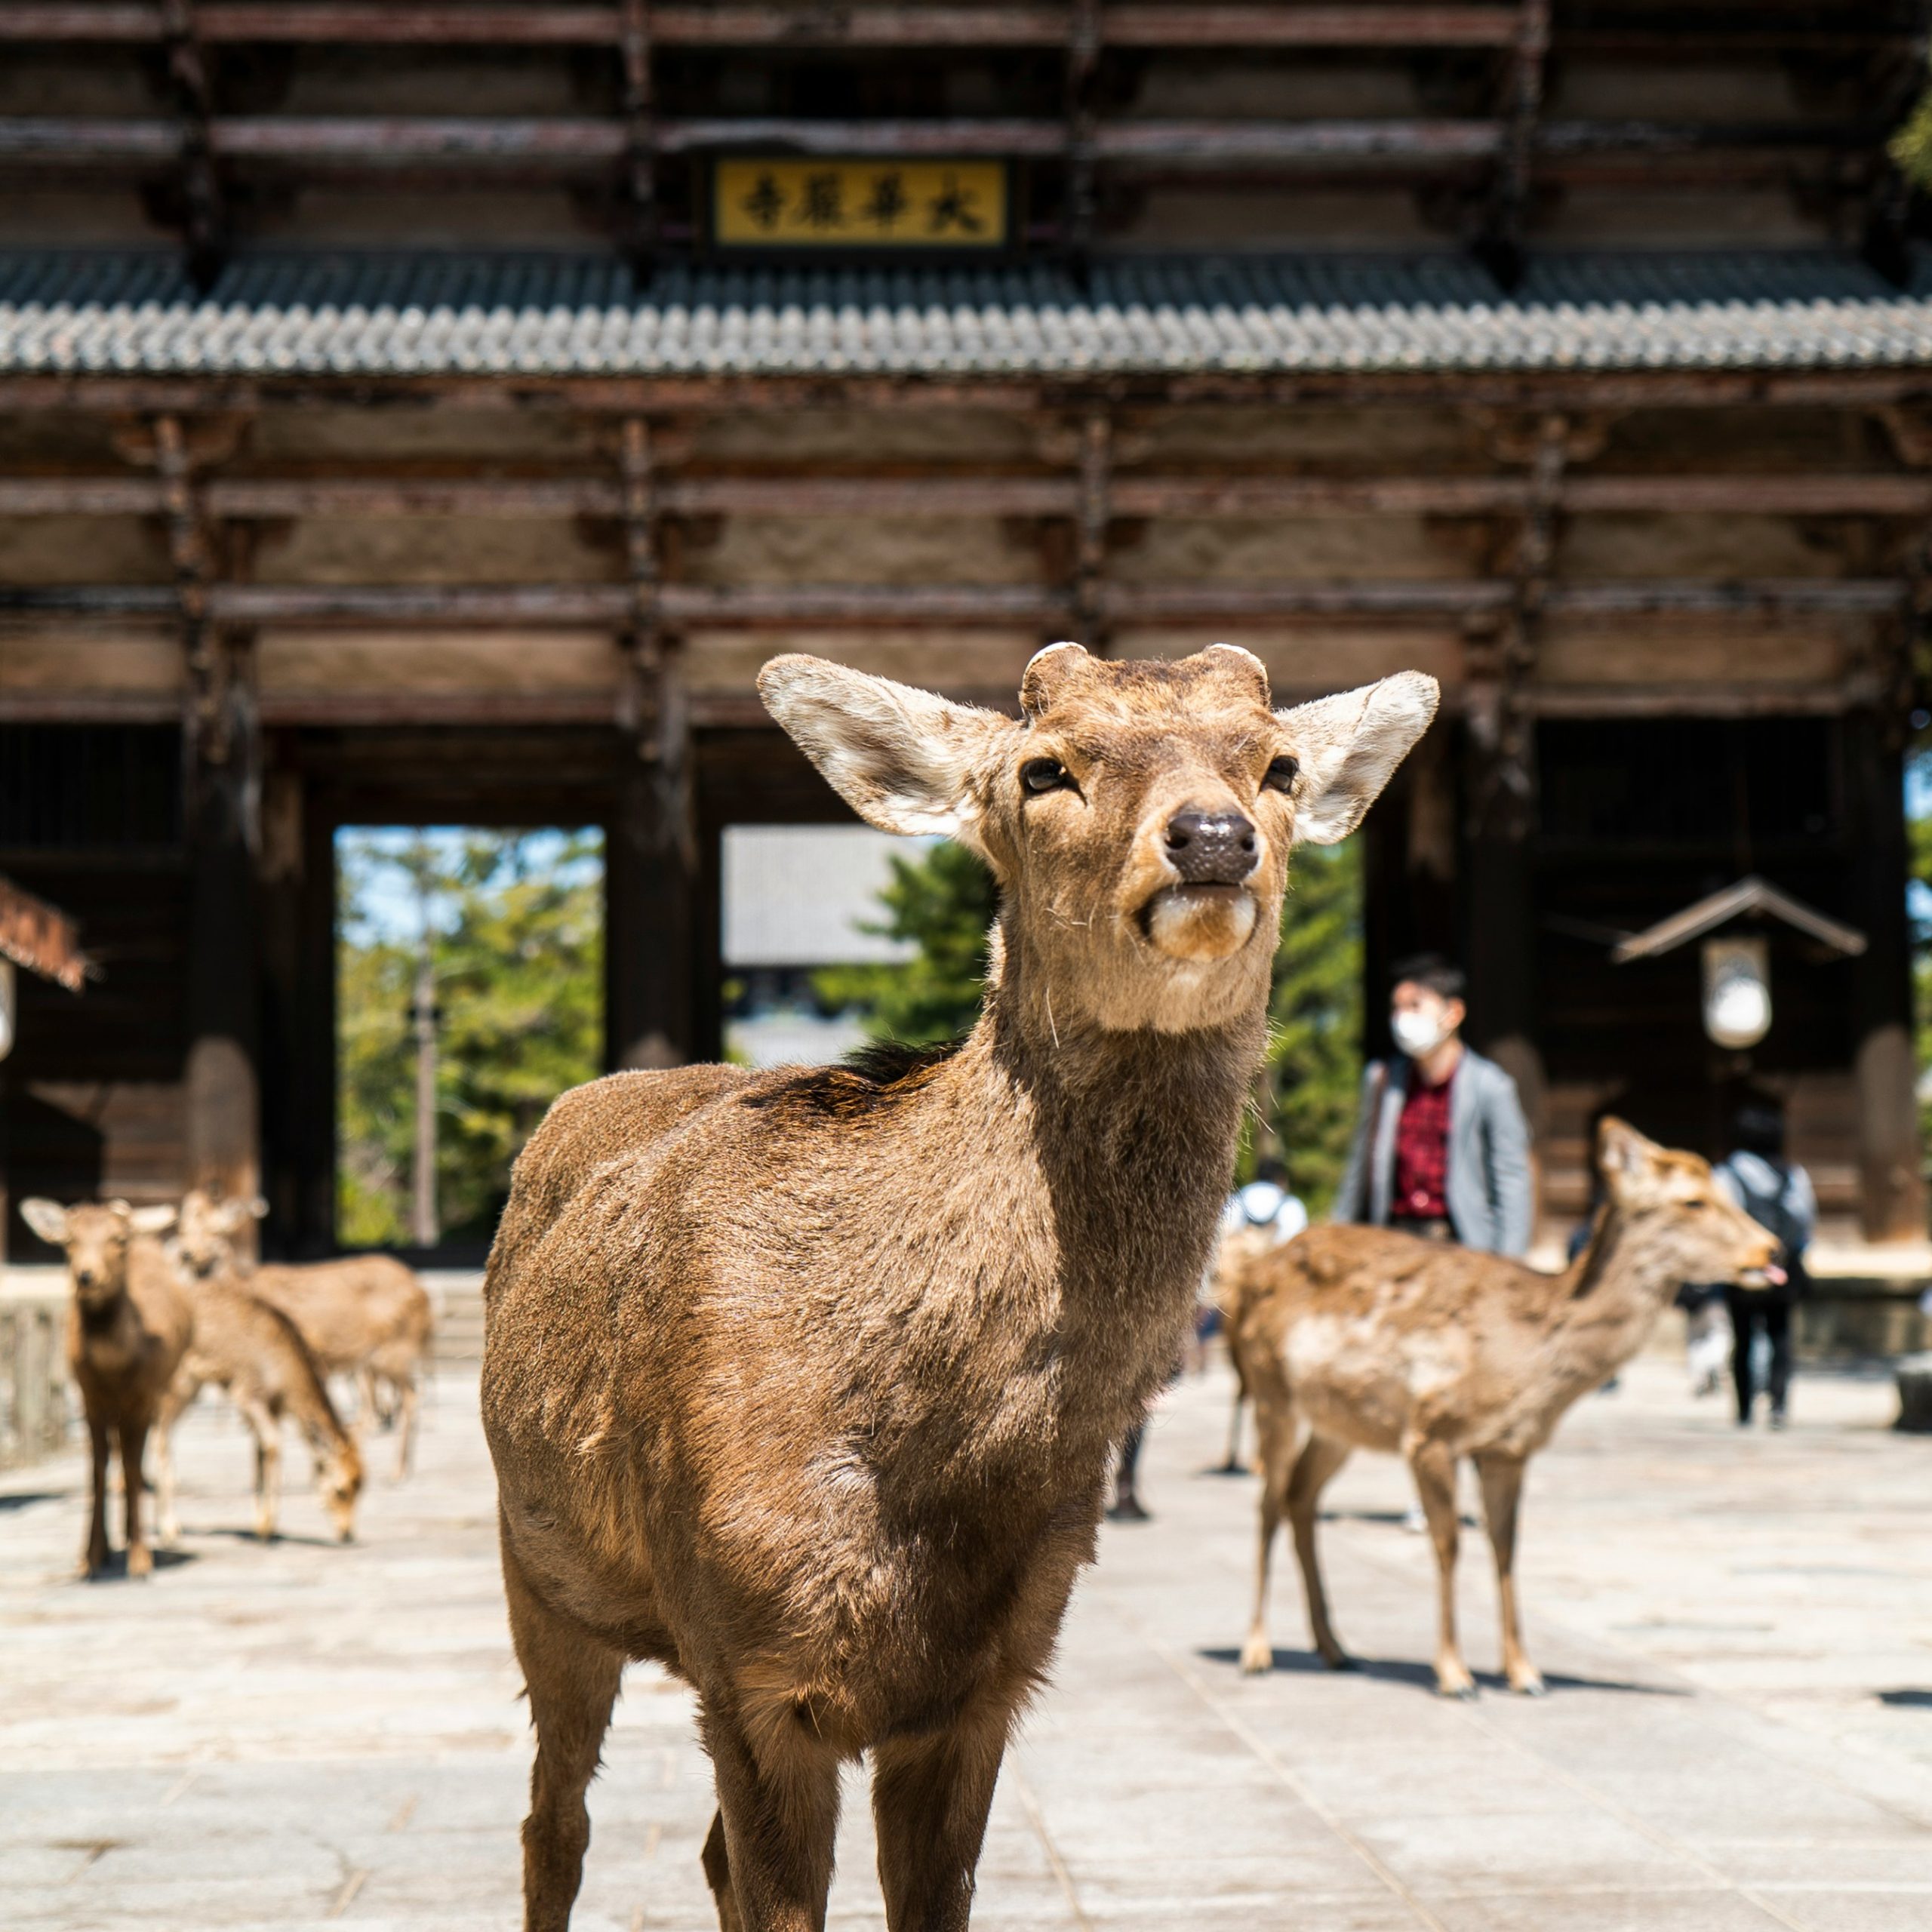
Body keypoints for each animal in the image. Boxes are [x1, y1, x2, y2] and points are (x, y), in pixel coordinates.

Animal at [20, 1189, 192, 1584]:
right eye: (69, 1239)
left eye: (118, 1239)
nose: (86, 1275)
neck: (113, 1370)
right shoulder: (89, 1397)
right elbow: (97, 1470)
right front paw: (91, 1557)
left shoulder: (142, 1396)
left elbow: (130, 1465)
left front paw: (140, 1560)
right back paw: (116, 1542)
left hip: (162, 1390)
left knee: (143, 1453)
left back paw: (142, 1534)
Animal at [154, 1198, 365, 1546]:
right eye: (341, 1490)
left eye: (362, 1485)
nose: (347, 1533)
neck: (284, 1377)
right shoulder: (247, 1392)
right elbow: (274, 1445)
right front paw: (267, 1528)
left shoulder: (271, 1405)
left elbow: (259, 1453)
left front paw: (261, 1523)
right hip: (177, 1380)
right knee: (159, 1434)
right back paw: (169, 1530)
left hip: (190, 1386)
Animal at [171, 1182, 432, 1468]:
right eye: (183, 1229)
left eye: (216, 1230)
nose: (187, 1253)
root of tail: (421, 1291)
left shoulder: (305, 1345)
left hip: (394, 1350)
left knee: (408, 1396)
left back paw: (396, 1468)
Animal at [475, 645, 1429, 1932]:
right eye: (1044, 769)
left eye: (1277, 763)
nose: (1213, 837)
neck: (933, 1468)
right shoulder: (753, 1663)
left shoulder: (994, 1677)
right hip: (541, 1573)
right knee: (553, 1827)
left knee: (697, 1852)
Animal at [1236, 1112, 1777, 1700]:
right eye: (1692, 1201)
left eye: (1726, 1192)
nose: (1771, 1250)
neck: (1524, 1365)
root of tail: (1250, 1275)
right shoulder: (1430, 1432)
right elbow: (1449, 1544)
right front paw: (1455, 1674)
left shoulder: (1509, 1449)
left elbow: (1506, 1548)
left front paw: (1524, 1673)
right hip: (1270, 1389)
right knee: (1267, 1502)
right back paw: (1256, 1651)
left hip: (1339, 1423)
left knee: (1300, 1497)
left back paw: (1335, 1649)